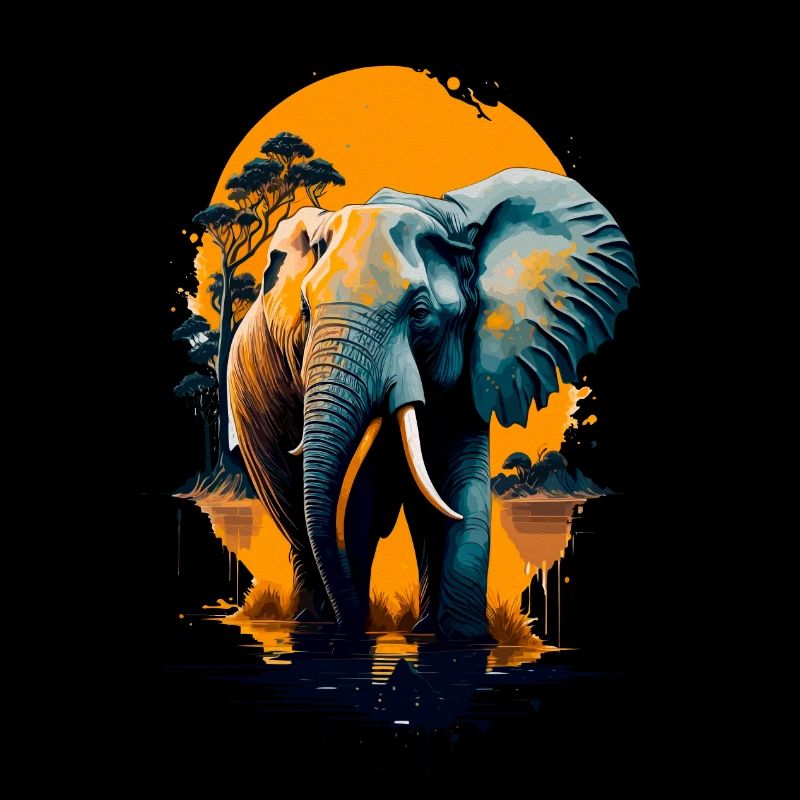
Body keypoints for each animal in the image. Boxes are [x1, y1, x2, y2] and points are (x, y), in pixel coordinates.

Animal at [228, 167, 637, 641]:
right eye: (307, 312)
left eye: (420, 314)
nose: (352, 630)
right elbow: (357, 497)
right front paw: (354, 636)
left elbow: (460, 479)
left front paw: (465, 640)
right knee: (298, 521)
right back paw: (312, 624)